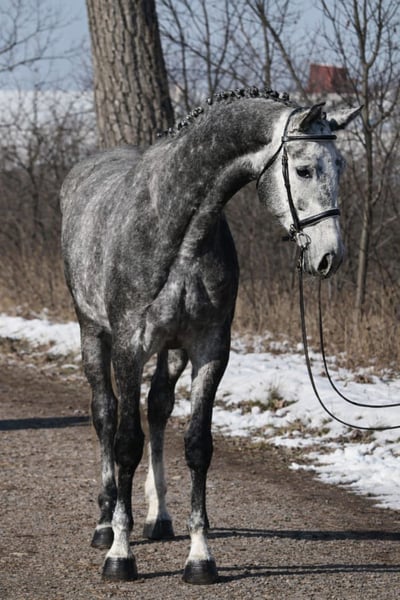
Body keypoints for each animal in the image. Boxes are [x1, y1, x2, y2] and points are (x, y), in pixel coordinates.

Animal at [60, 87, 360, 585]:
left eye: (339, 165)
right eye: (304, 169)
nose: (329, 256)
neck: (177, 230)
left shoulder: (209, 350)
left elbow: (197, 446)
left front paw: (200, 558)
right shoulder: (128, 348)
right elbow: (126, 444)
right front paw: (121, 555)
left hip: (171, 352)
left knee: (158, 409)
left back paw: (159, 517)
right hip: (93, 335)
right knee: (105, 415)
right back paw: (105, 524)